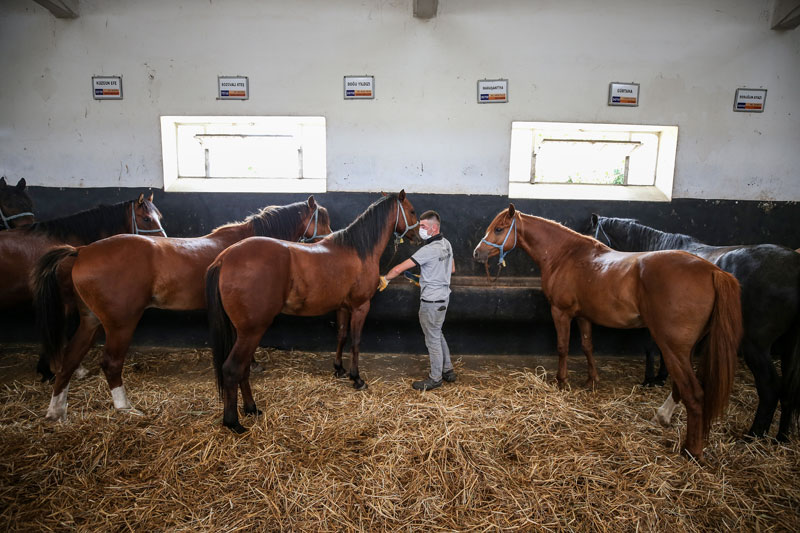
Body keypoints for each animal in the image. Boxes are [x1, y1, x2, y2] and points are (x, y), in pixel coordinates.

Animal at [33, 197, 330, 422]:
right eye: (323, 219)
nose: (328, 239)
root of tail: (82, 251)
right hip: (121, 323)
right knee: (111, 363)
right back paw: (125, 407)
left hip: (91, 321)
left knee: (70, 359)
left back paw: (56, 410)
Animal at [206, 191, 420, 433]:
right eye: (412, 211)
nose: (418, 237)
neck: (357, 250)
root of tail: (225, 257)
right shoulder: (360, 306)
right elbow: (355, 341)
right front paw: (356, 378)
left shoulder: (342, 307)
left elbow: (341, 336)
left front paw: (339, 369)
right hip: (252, 331)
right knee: (233, 369)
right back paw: (233, 422)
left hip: (240, 332)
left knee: (243, 369)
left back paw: (251, 408)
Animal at [473, 205, 743, 459]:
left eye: (499, 229)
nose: (477, 253)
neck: (565, 255)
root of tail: (714, 271)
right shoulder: (583, 316)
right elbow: (587, 346)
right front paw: (591, 380)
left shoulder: (561, 312)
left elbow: (562, 347)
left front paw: (561, 381)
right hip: (687, 349)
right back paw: (664, 419)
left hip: (672, 348)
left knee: (693, 394)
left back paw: (691, 450)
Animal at [589, 214, 800, 440]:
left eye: (591, 233)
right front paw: (661, 377)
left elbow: (652, 348)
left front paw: (651, 379)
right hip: (789, 348)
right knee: (788, 391)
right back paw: (781, 437)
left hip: (755, 346)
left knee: (770, 387)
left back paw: (753, 435)